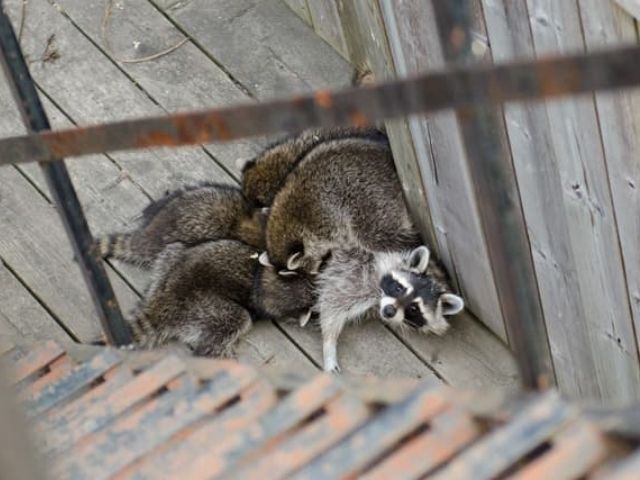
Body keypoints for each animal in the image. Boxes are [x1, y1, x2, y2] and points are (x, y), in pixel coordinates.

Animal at [315, 245, 464, 373]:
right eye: (399, 288)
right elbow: (333, 301)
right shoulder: (356, 271)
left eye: (413, 309)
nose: (389, 311)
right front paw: (329, 345)